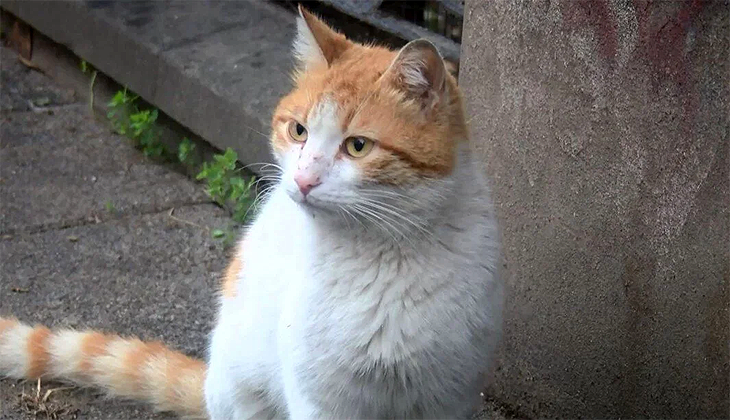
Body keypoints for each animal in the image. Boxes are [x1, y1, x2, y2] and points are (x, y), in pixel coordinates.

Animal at [0, 6, 500, 420]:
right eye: (298, 131)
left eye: (358, 146)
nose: (303, 180)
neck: (383, 256)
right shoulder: (321, 400)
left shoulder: (447, 397)